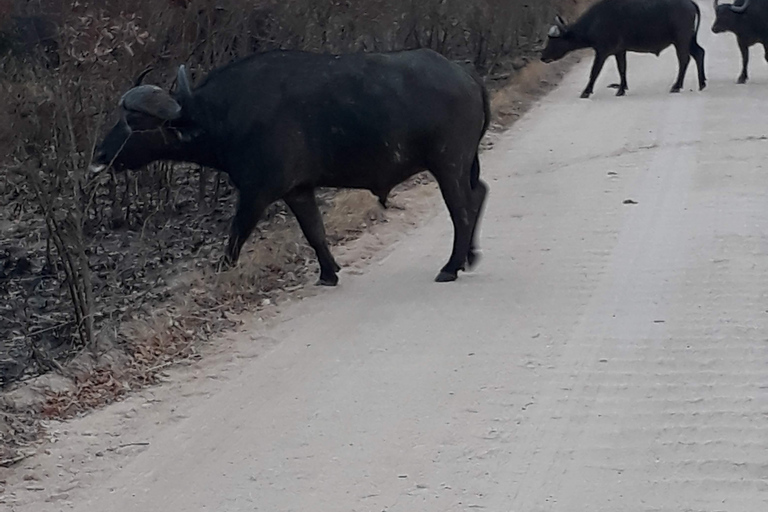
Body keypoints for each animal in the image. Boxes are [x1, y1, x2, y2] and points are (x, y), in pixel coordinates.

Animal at [90, 49, 486, 284]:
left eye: (134, 121)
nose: (100, 155)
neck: (223, 115)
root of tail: (467, 77)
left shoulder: (258, 192)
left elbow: (236, 234)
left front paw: (220, 270)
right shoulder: (298, 190)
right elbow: (315, 232)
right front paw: (328, 272)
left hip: (448, 164)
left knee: (462, 210)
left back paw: (450, 266)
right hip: (464, 165)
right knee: (479, 193)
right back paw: (469, 256)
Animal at [544, 0, 704, 98]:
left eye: (553, 40)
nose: (543, 56)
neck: (596, 21)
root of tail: (690, 3)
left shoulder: (602, 52)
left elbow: (594, 71)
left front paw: (586, 92)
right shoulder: (620, 51)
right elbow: (622, 68)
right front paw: (622, 88)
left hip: (681, 40)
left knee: (684, 59)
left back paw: (676, 86)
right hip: (689, 40)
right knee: (699, 53)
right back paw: (701, 83)